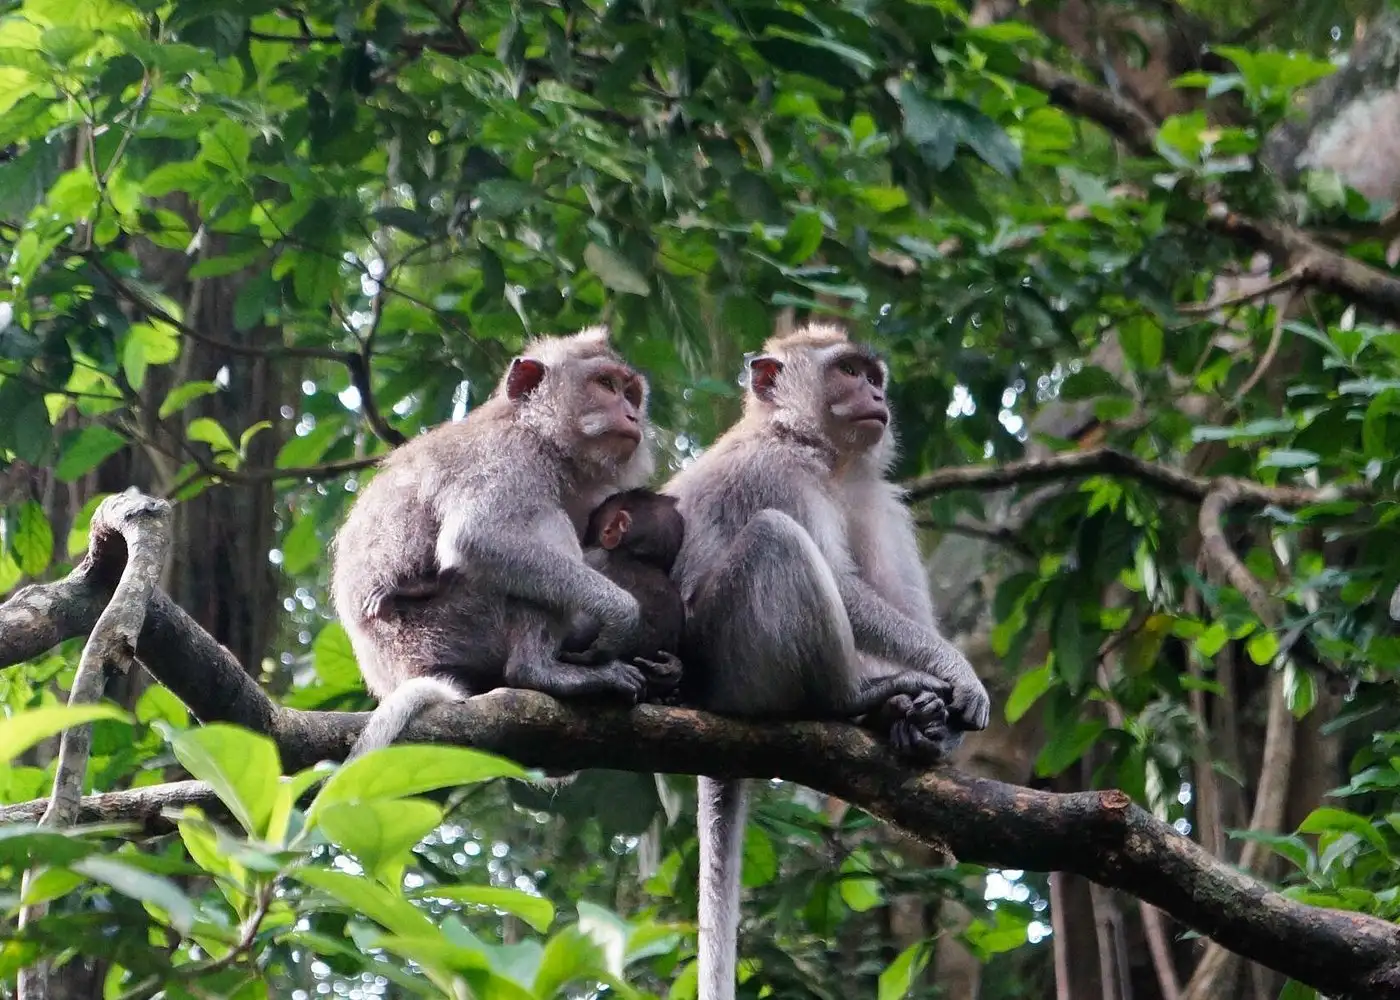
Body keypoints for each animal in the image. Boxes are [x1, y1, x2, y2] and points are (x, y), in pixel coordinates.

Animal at [331, 326, 672, 759]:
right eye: (605, 385)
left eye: (631, 394)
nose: (631, 416)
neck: (537, 434)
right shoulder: (506, 455)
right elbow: (479, 538)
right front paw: (620, 612)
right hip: (446, 631)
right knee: (545, 527)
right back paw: (539, 671)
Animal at [660, 322, 992, 1000]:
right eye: (847, 371)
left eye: (873, 375)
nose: (876, 396)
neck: (819, 450)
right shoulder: (776, 471)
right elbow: (839, 582)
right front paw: (953, 675)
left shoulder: (873, 495)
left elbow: (896, 596)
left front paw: (931, 714)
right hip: (729, 659)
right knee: (775, 538)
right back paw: (852, 700)